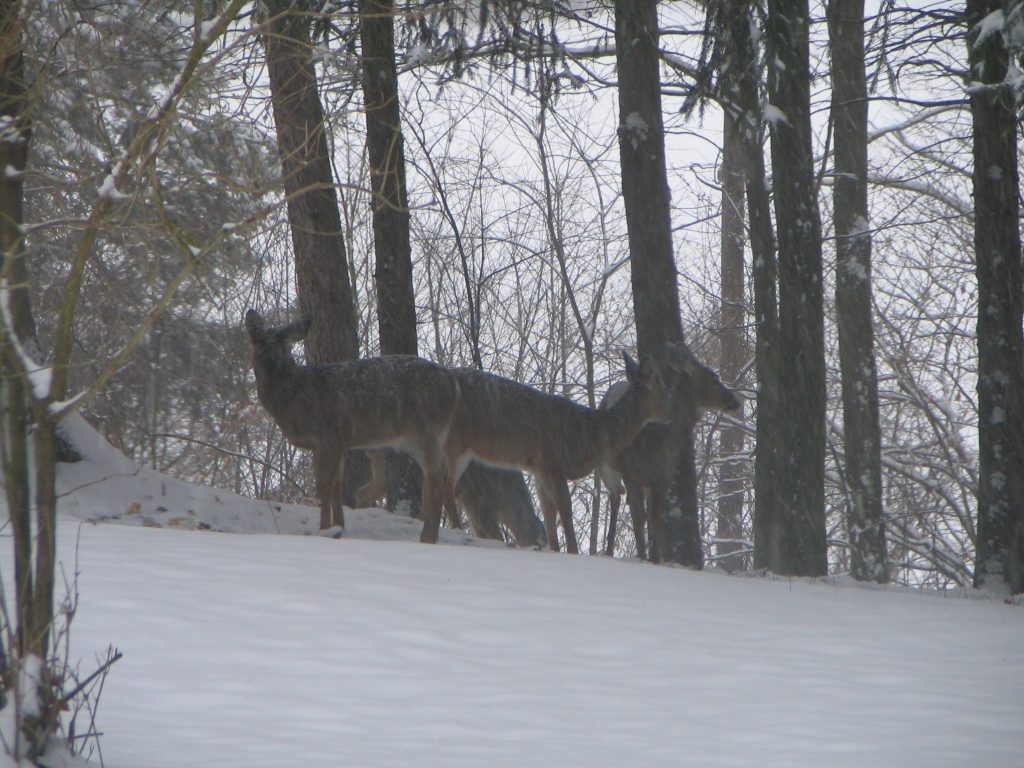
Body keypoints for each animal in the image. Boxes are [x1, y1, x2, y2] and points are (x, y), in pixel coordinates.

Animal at [243, 309, 456, 544]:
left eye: (284, 346)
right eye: (259, 344)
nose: (271, 362)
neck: (295, 395)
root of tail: (452, 385)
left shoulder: (328, 434)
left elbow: (325, 484)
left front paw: (324, 529)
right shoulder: (339, 442)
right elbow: (337, 484)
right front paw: (339, 527)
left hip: (425, 430)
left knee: (437, 473)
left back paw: (427, 537)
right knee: (438, 472)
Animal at [598, 342, 741, 565]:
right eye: (713, 377)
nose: (734, 401)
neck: (661, 437)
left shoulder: (663, 477)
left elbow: (655, 518)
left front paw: (656, 559)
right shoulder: (631, 473)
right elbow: (638, 517)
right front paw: (643, 558)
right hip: (607, 469)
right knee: (615, 497)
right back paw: (609, 550)